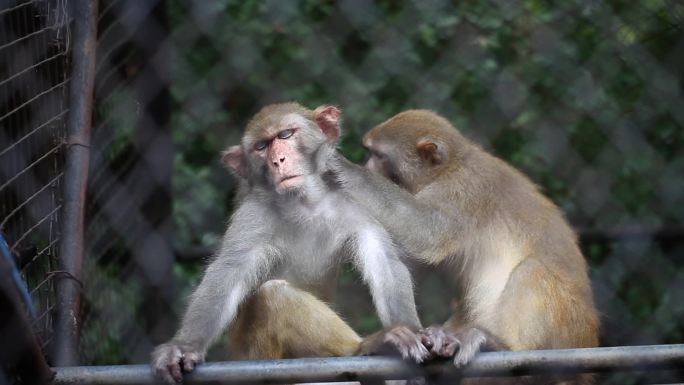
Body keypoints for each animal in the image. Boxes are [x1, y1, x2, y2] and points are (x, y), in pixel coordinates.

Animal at [153, 103, 428, 382]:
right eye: (261, 147)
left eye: (285, 135)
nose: (278, 161)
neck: (305, 203)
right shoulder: (254, 213)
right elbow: (229, 271)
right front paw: (184, 346)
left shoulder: (357, 199)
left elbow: (383, 260)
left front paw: (412, 329)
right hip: (257, 356)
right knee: (274, 294)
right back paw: (365, 347)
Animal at [336, 110, 600, 380]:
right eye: (369, 153)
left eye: (378, 156)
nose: (367, 167)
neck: (449, 167)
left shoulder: (464, 189)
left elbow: (429, 232)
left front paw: (342, 167)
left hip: (567, 331)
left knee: (532, 270)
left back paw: (502, 346)